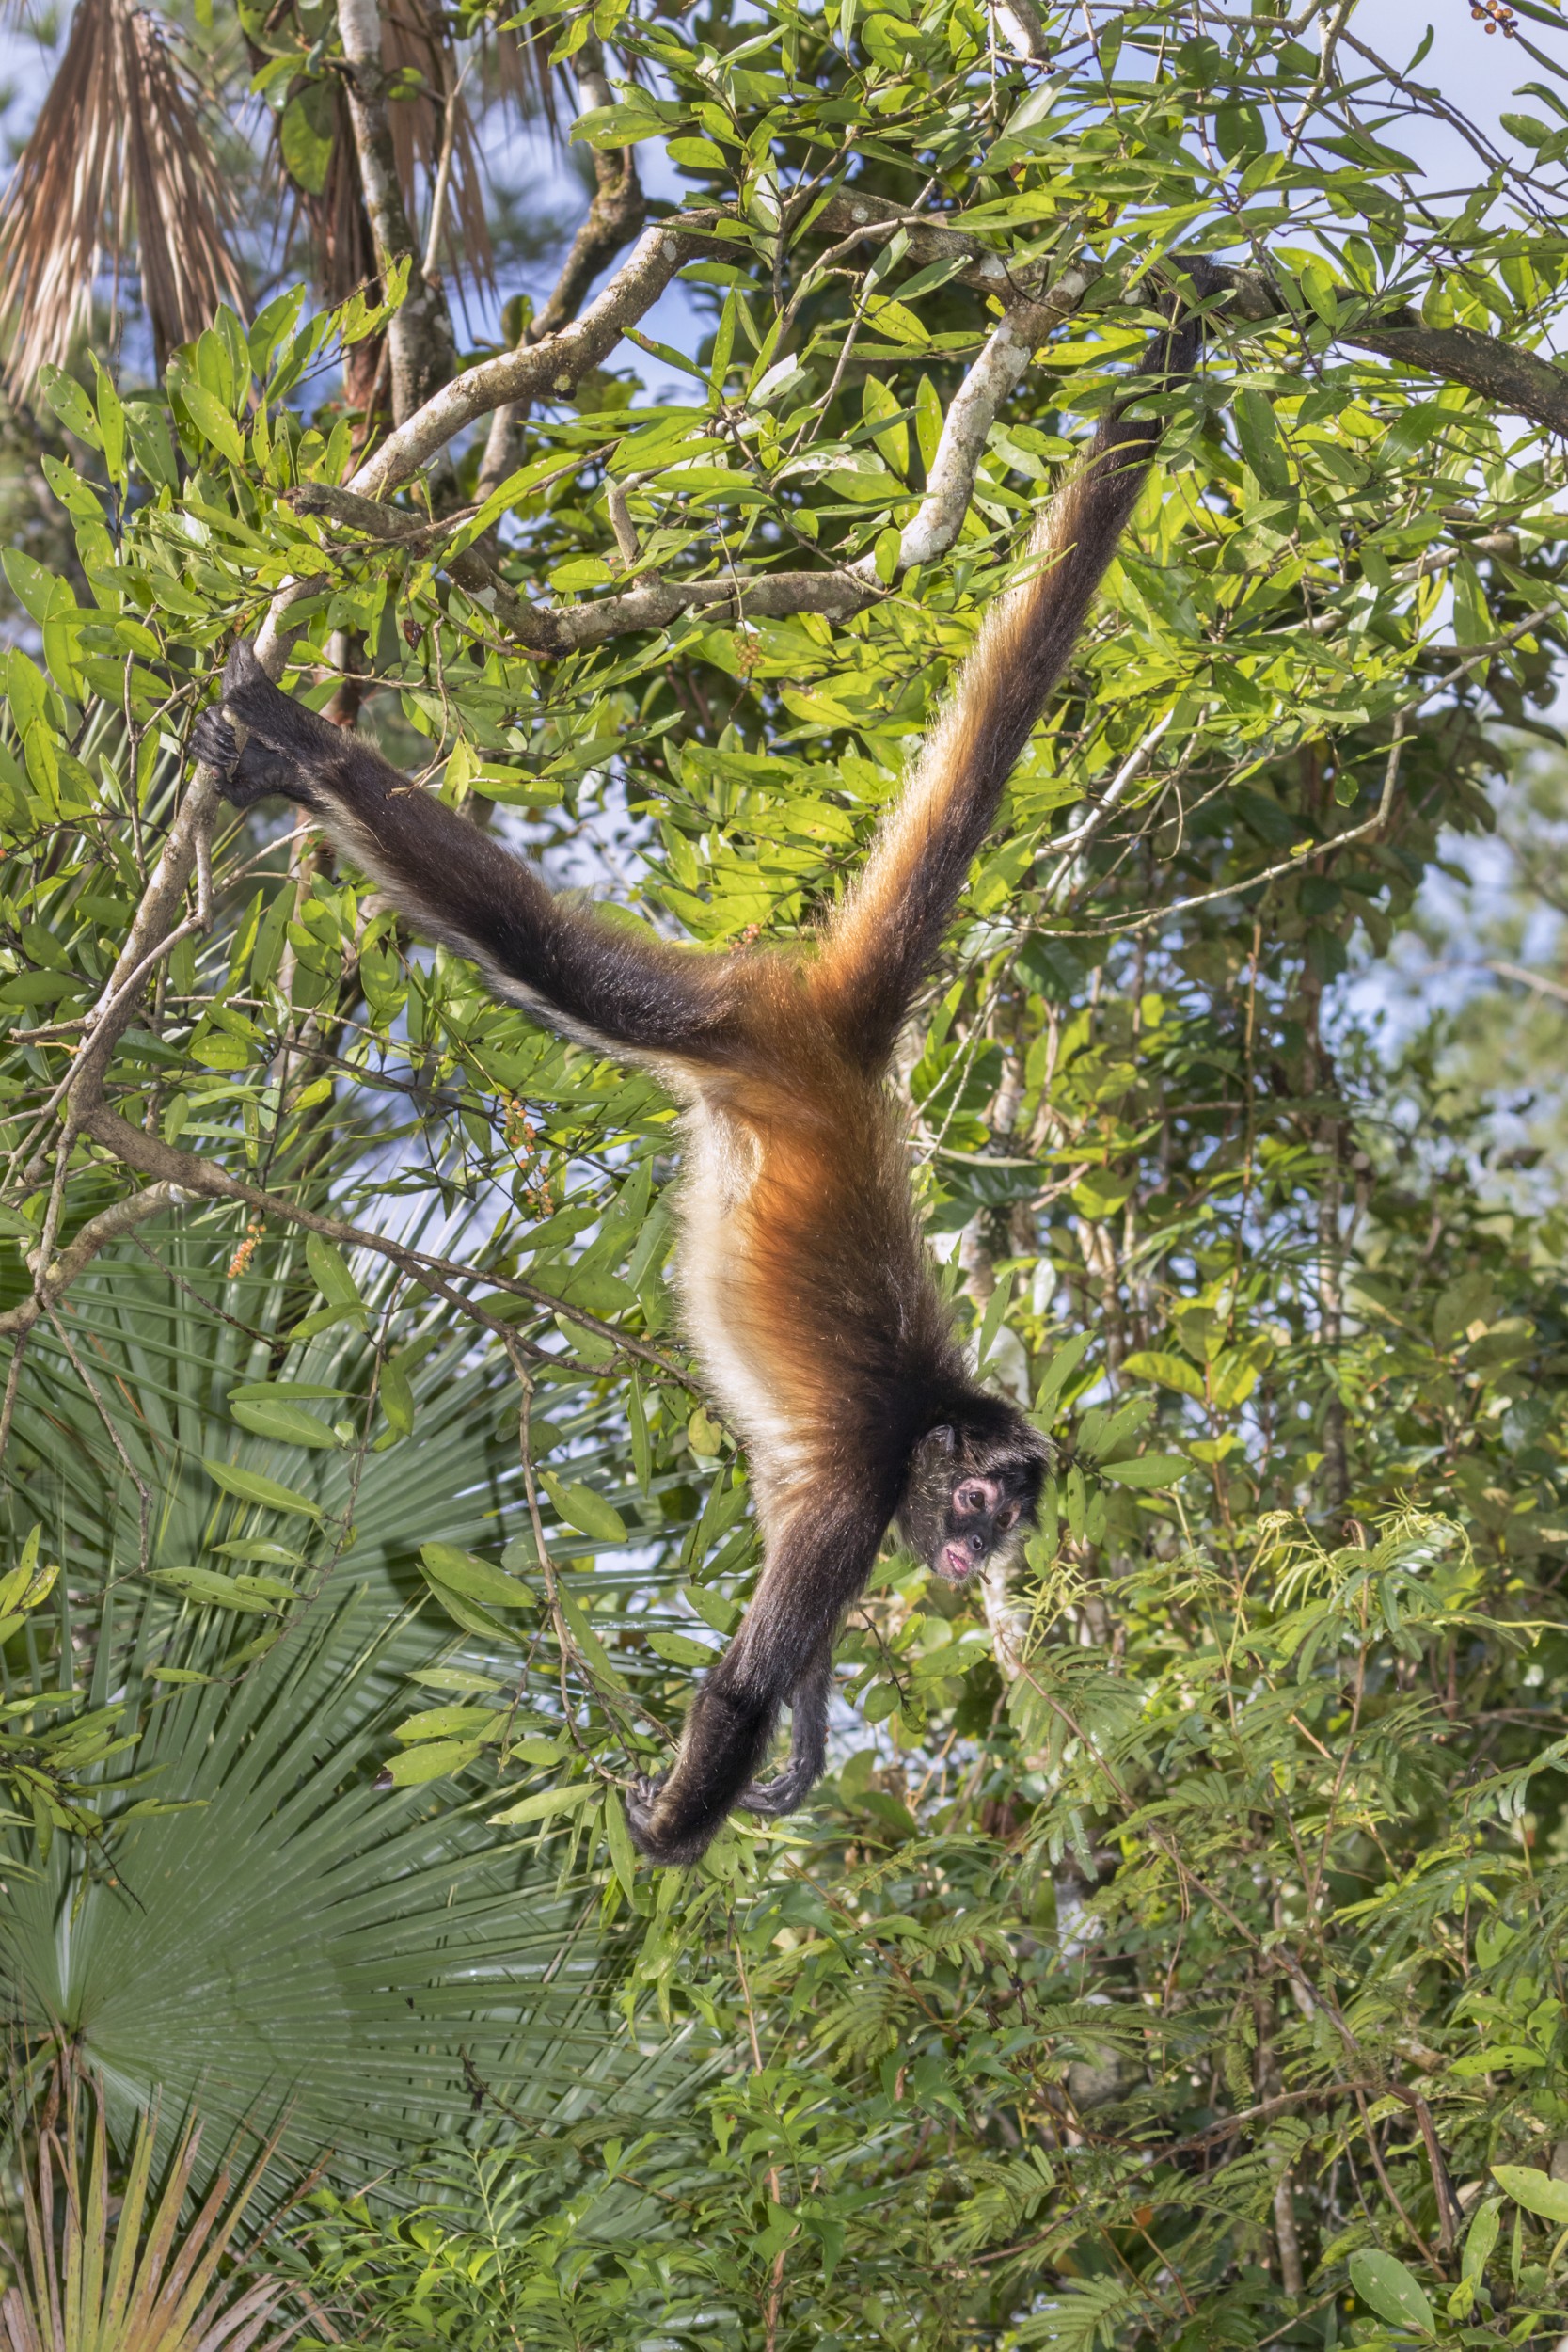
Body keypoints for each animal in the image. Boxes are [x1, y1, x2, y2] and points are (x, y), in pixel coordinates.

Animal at [186, 270, 1212, 1853]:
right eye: (982, 1506)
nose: (977, 1563)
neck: (921, 1425)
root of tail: (839, 1046)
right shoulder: (854, 1493)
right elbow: (734, 1684)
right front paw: (670, 1827)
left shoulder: (838, 1508)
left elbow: (781, 1667)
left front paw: (799, 1743)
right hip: (713, 1013)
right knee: (535, 942)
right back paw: (308, 753)